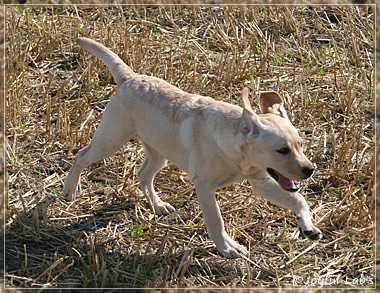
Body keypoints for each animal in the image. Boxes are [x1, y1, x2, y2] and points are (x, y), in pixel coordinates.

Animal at [64, 37, 320, 258]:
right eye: (282, 150)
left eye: (300, 145)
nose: (310, 170)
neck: (236, 151)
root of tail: (130, 77)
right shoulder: (204, 186)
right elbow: (216, 220)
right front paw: (227, 248)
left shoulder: (261, 181)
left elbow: (298, 199)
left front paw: (308, 227)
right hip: (110, 140)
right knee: (81, 156)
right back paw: (69, 190)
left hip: (159, 152)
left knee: (143, 174)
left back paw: (158, 205)